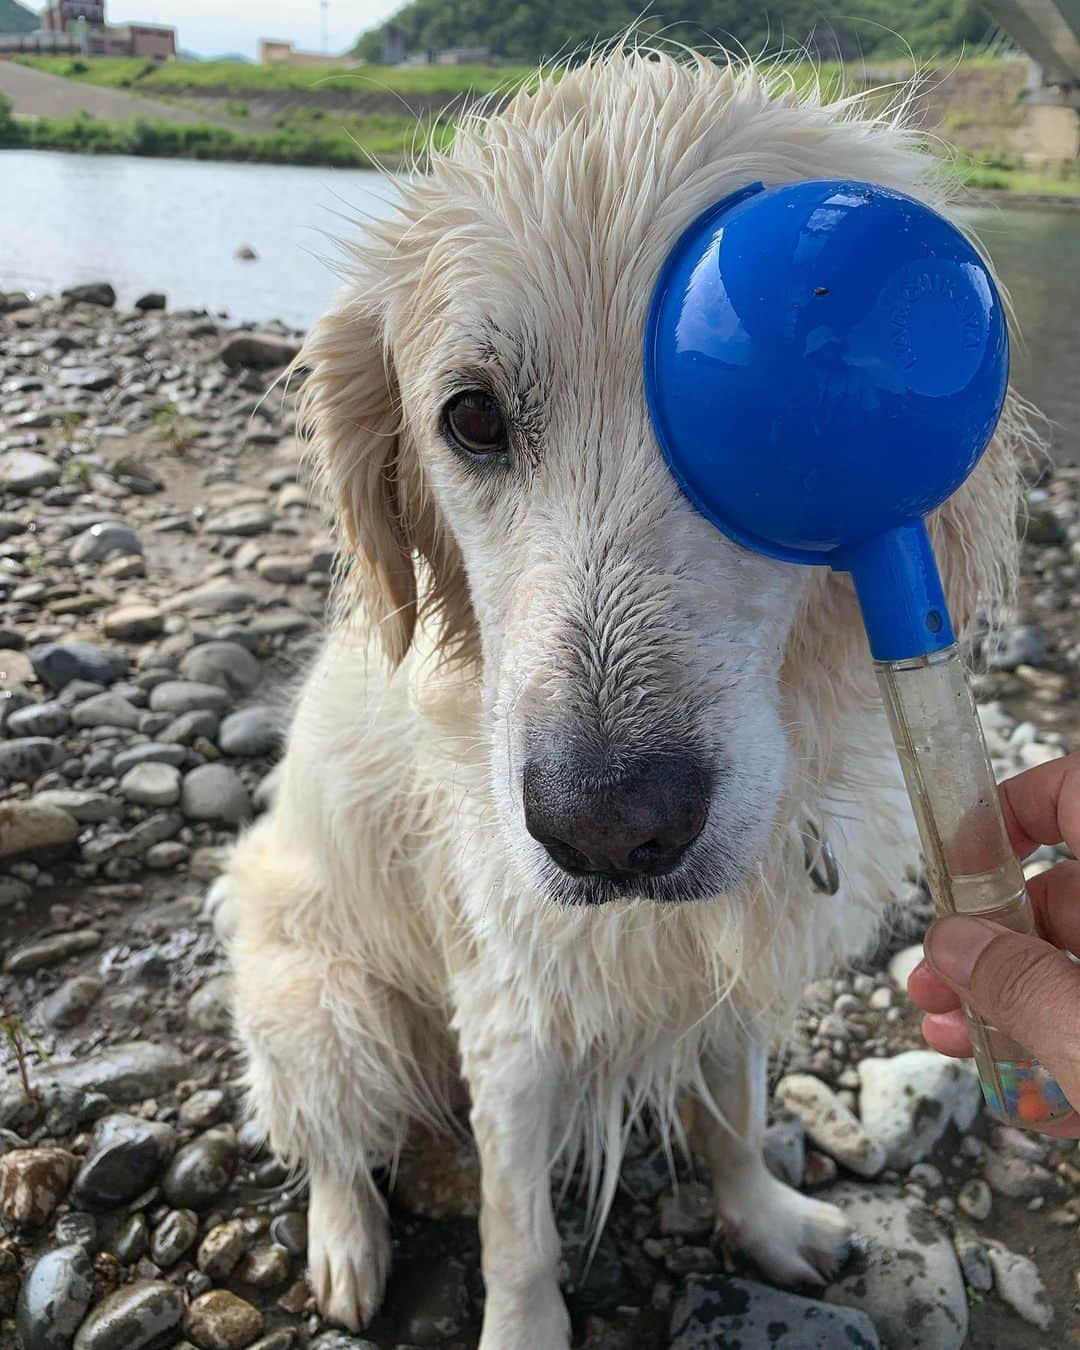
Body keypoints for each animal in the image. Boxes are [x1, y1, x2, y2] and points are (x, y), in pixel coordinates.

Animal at [210, 47, 1031, 1344]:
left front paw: (762, 1223)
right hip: (319, 998)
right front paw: (525, 1326)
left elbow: (736, 1109)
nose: (605, 828)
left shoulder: (733, 964)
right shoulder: (509, 1014)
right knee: (331, 1136)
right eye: (473, 417)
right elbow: (518, 1230)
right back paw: (345, 1249)